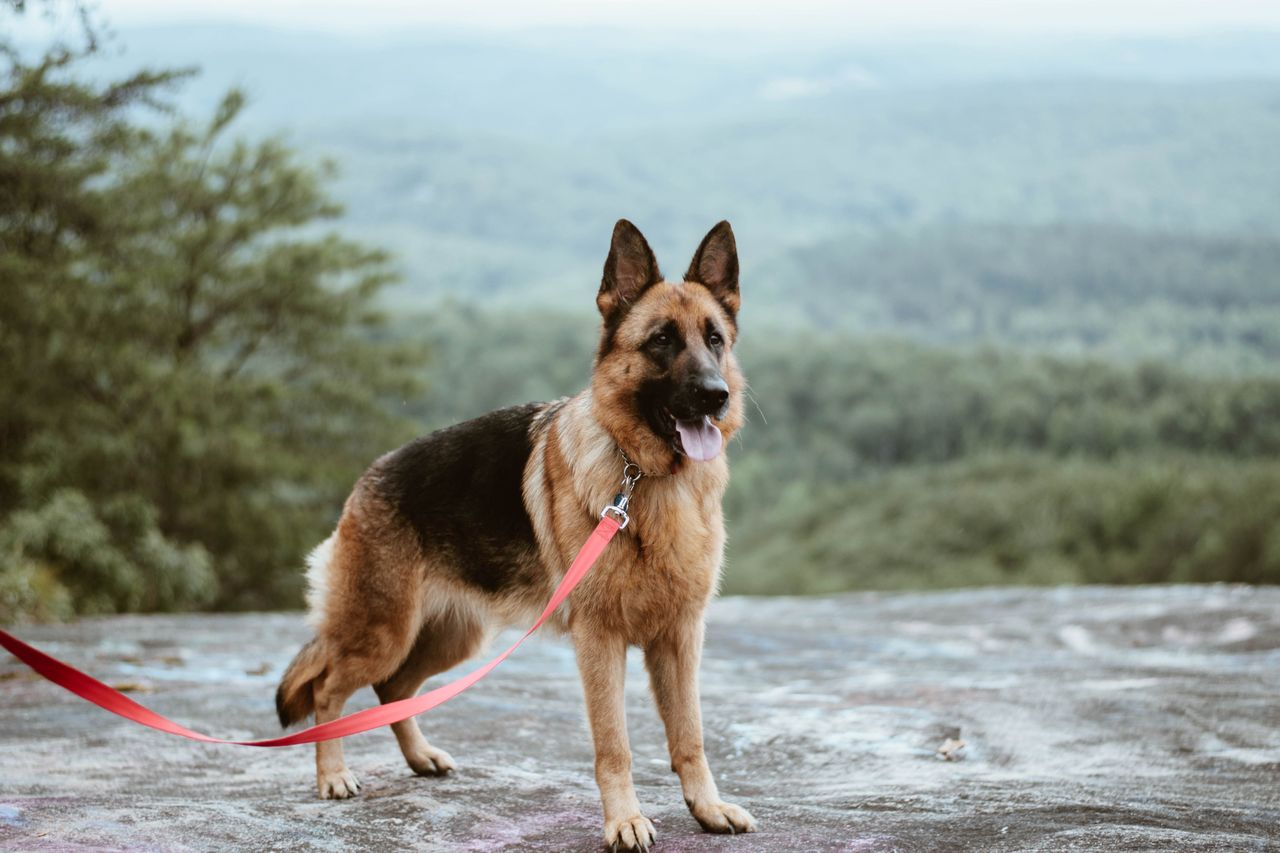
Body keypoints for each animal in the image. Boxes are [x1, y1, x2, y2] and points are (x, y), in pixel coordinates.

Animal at [277, 217, 757, 845]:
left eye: (714, 339)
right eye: (661, 341)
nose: (714, 395)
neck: (644, 477)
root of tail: (367, 478)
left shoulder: (680, 639)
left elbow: (690, 736)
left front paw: (706, 806)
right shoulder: (600, 643)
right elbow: (615, 744)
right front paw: (625, 819)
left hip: (451, 638)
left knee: (392, 691)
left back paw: (420, 757)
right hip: (382, 633)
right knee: (329, 689)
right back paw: (332, 774)